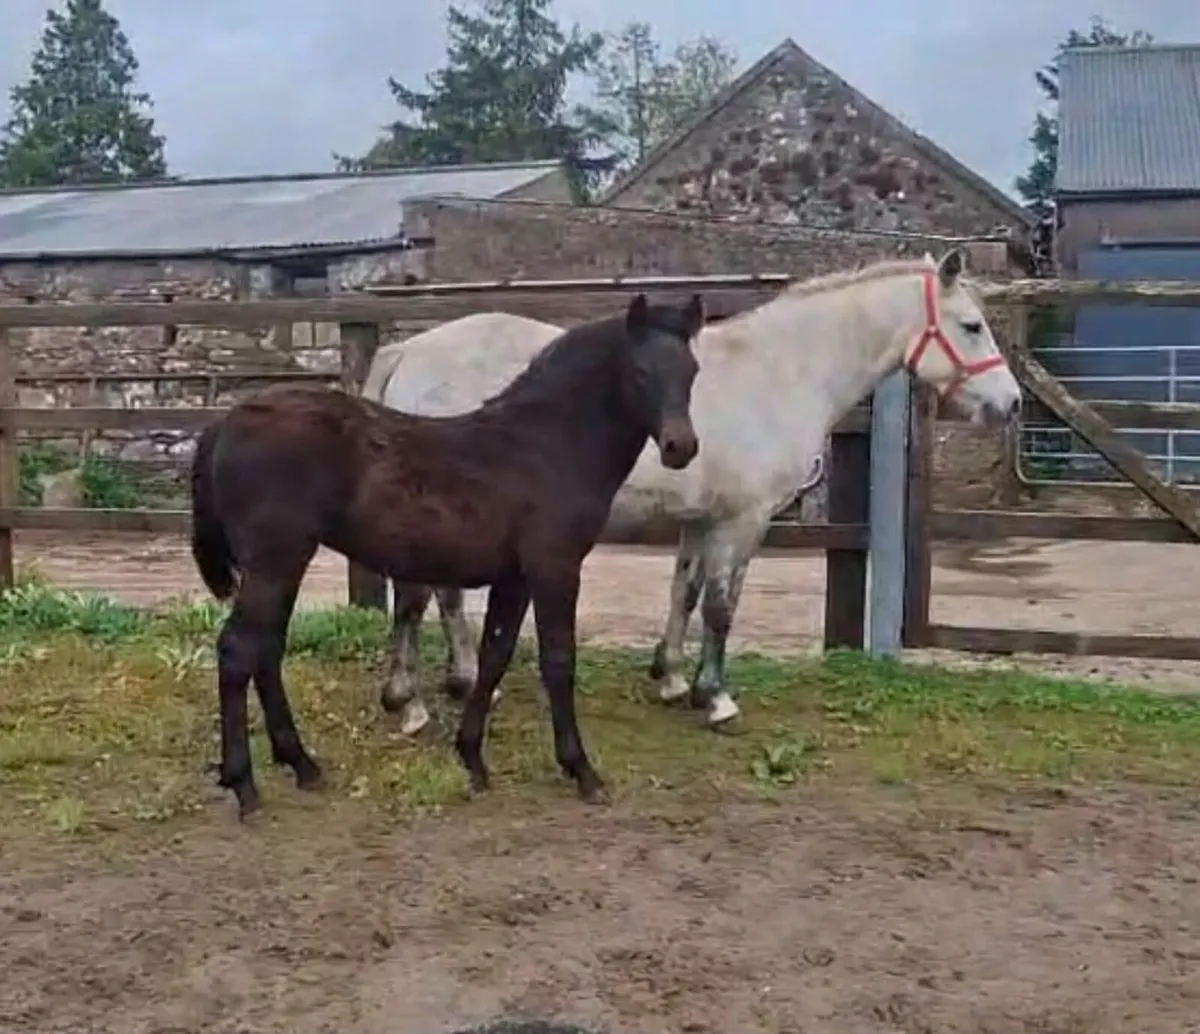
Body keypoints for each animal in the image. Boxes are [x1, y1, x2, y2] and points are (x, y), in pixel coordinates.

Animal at [189, 293, 706, 819]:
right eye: (641, 371)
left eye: (692, 371)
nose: (680, 447)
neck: (545, 447)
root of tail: (226, 422)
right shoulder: (554, 567)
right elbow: (559, 661)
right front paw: (581, 770)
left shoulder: (515, 577)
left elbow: (495, 653)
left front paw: (472, 758)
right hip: (275, 561)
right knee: (238, 651)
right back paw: (245, 785)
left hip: (282, 563)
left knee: (266, 649)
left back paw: (302, 765)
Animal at [361, 249, 1022, 735]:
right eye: (972, 326)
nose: (1011, 403)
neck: (777, 372)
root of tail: (410, 349)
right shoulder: (745, 520)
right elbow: (722, 607)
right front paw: (716, 697)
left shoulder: (701, 520)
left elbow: (685, 591)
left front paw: (673, 677)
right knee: (424, 594)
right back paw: (413, 700)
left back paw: (461, 682)